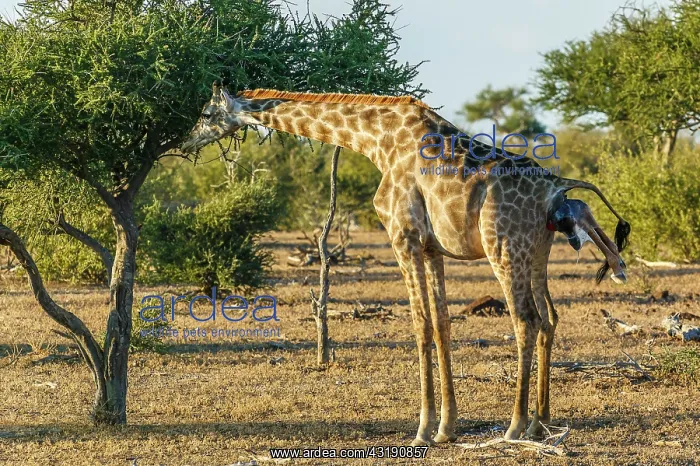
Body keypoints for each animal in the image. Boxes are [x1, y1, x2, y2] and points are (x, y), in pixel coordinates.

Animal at [182, 82, 630, 445]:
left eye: (205, 113)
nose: (186, 143)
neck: (378, 142)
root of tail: (557, 190)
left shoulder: (403, 239)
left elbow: (420, 325)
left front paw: (422, 429)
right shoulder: (431, 248)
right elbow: (444, 325)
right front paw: (447, 428)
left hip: (503, 247)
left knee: (526, 320)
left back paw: (516, 426)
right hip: (537, 252)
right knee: (549, 317)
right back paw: (541, 422)